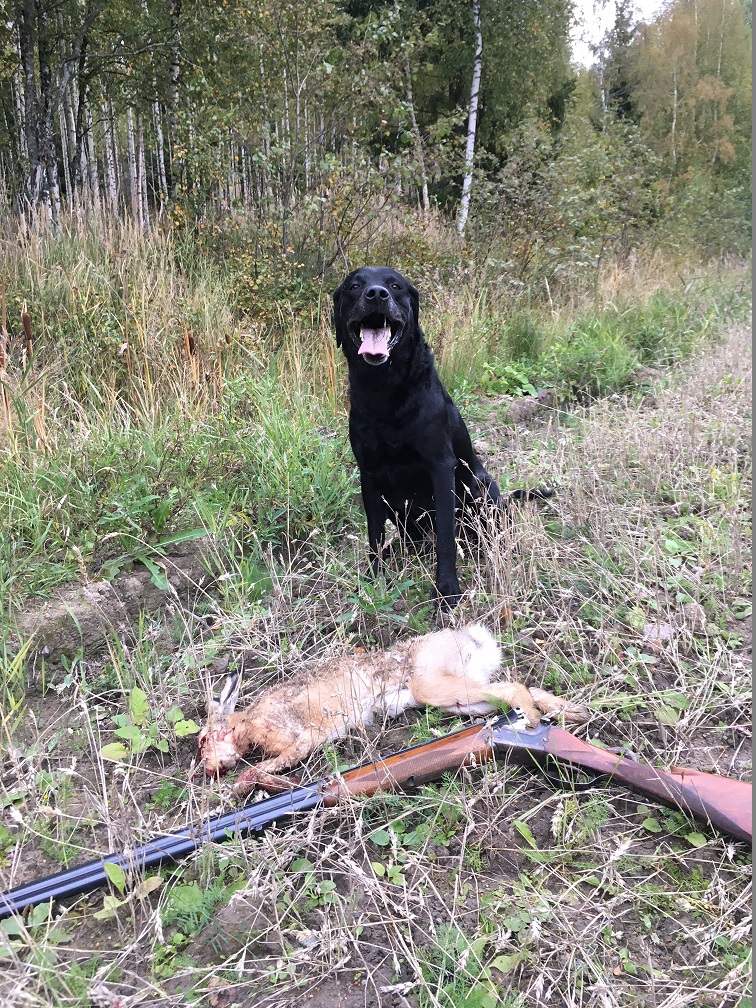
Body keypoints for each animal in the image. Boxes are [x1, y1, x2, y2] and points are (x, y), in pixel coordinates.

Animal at [198, 624, 585, 798]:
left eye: (204, 740)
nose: (208, 770)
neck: (245, 724)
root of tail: (470, 638)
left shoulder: (299, 738)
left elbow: (269, 765)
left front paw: (245, 785)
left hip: (434, 686)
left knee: (514, 688)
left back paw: (533, 721)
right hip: (456, 699)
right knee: (516, 692)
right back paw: (568, 712)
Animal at [333, 266, 546, 607]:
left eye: (395, 286)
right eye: (354, 286)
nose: (376, 294)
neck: (385, 389)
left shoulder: (441, 468)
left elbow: (446, 536)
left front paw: (446, 589)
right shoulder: (368, 475)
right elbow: (374, 535)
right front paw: (373, 580)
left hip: (480, 486)